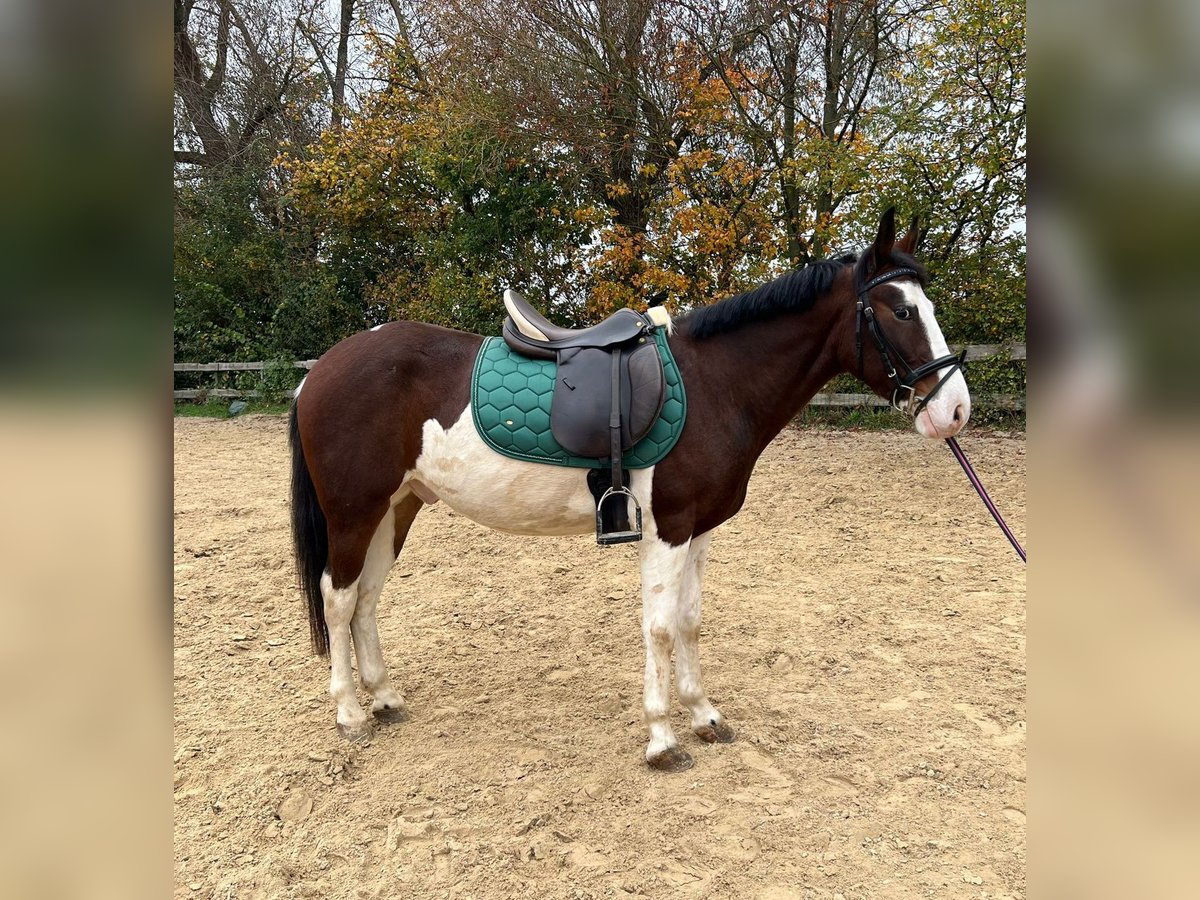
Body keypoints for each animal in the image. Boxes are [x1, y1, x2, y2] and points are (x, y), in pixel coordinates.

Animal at [292, 207, 974, 772]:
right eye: (902, 311)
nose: (956, 411)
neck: (716, 385)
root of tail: (319, 371)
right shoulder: (667, 528)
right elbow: (661, 627)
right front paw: (662, 739)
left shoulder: (700, 529)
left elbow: (692, 620)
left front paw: (704, 716)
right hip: (354, 512)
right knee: (338, 598)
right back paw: (350, 713)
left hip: (396, 508)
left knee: (367, 598)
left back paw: (384, 698)